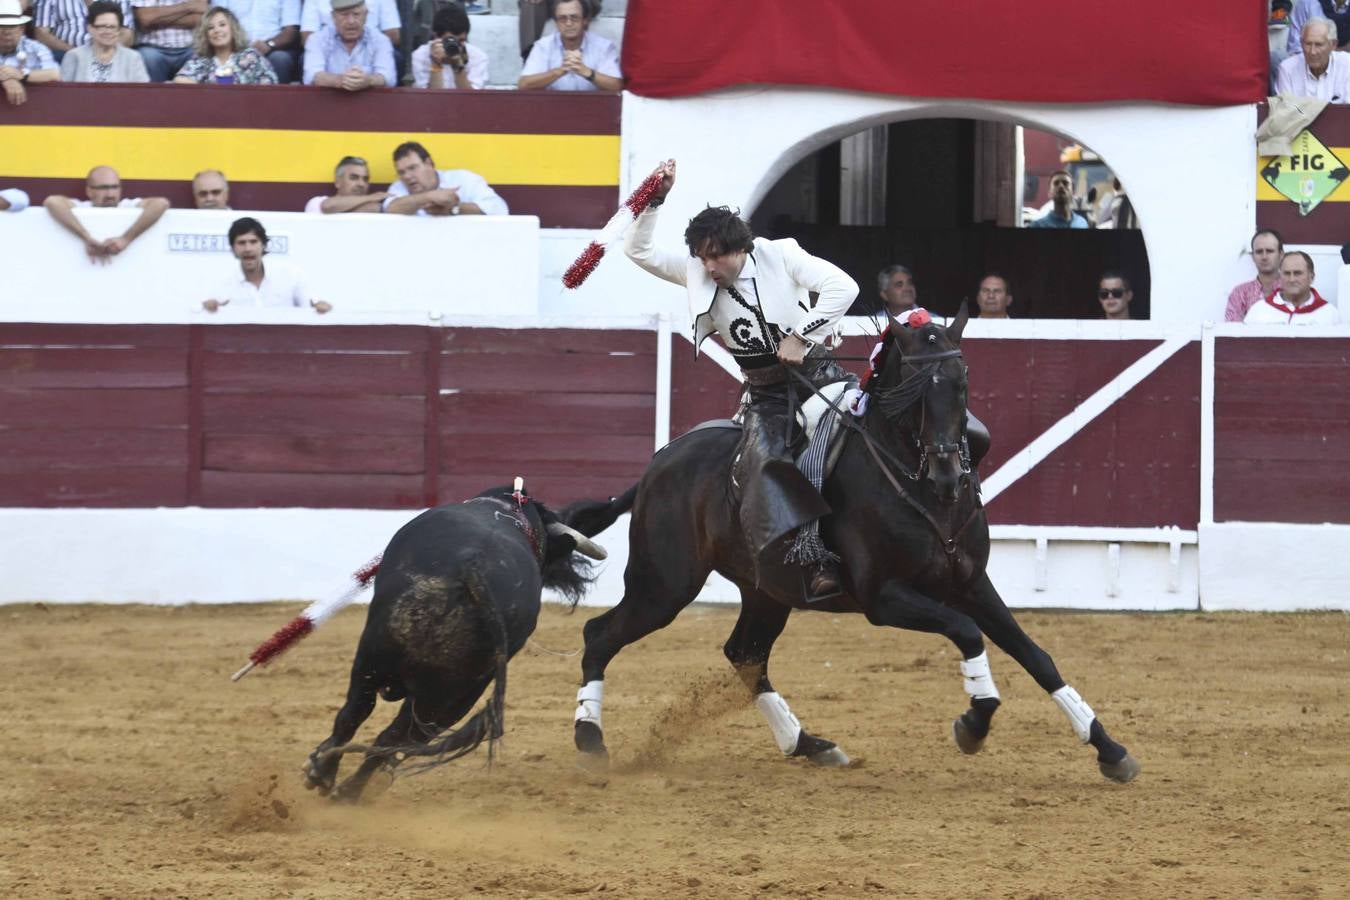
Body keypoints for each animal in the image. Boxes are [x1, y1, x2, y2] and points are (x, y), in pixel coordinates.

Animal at [303, 485, 634, 804]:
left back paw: (331, 777)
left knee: (368, 720)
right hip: (438, 688)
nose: (574, 577)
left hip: (402, 671)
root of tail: (471, 571)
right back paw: (340, 783)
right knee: (384, 730)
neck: (509, 511)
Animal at [569, 306, 1139, 782]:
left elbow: (1036, 655)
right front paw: (974, 723)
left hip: (766, 591)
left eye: (963, 383)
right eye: (912, 389)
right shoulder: (884, 599)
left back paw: (809, 744)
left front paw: (1110, 749)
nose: (948, 472)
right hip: (664, 584)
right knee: (601, 634)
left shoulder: (972, 583)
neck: (925, 496)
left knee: (745, 654)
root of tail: (658, 464)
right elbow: (967, 632)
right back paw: (590, 740)